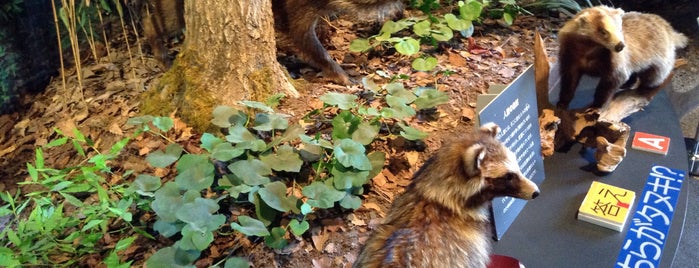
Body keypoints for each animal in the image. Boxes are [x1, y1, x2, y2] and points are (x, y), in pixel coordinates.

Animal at [556, 4, 688, 109]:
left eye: (620, 29)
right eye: (603, 31)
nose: (620, 45)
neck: (589, 50)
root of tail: (668, 27)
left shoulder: (616, 60)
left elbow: (614, 79)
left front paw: (596, 105)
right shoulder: (570, 55)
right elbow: (569, 79)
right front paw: (562, 103)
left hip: (662, 56)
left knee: (655, 75)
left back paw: (646, 87)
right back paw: (628, 84)